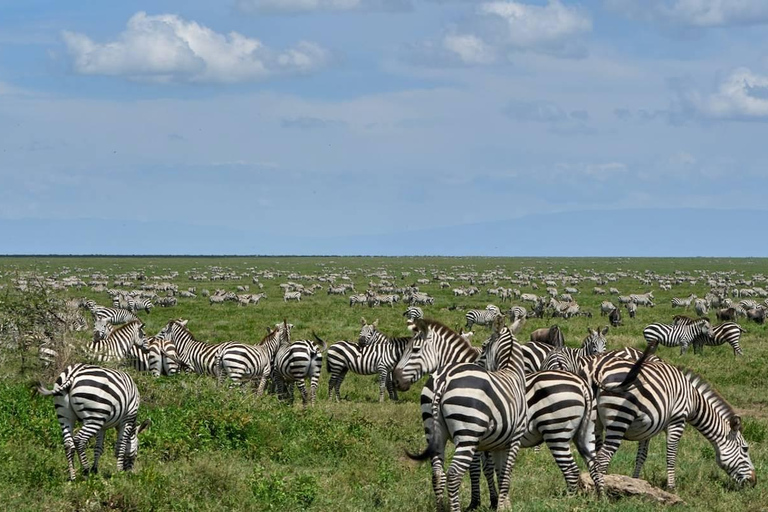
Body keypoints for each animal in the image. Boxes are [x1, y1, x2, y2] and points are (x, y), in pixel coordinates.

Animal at [408, 316, 528, 512]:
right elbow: (502, 472)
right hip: (467, 433)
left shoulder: (497, 443)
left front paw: (500, 503)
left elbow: (498, 471)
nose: (474, 363)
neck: (512, 373)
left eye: (484, 346)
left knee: (438, 473)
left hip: (437, 432)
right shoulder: (513, 437)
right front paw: (497, 504)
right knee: (453, 474)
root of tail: (443, 380)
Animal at [592, 344, 760, 488]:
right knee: (603, 457)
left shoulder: (649, 426)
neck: (694, 401)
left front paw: (635, 481)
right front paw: (671, 487)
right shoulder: (677, 420)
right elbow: (671, 455)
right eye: (745, 449)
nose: (754, 481)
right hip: (619, 417)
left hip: (595, 421)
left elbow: (641, 455)